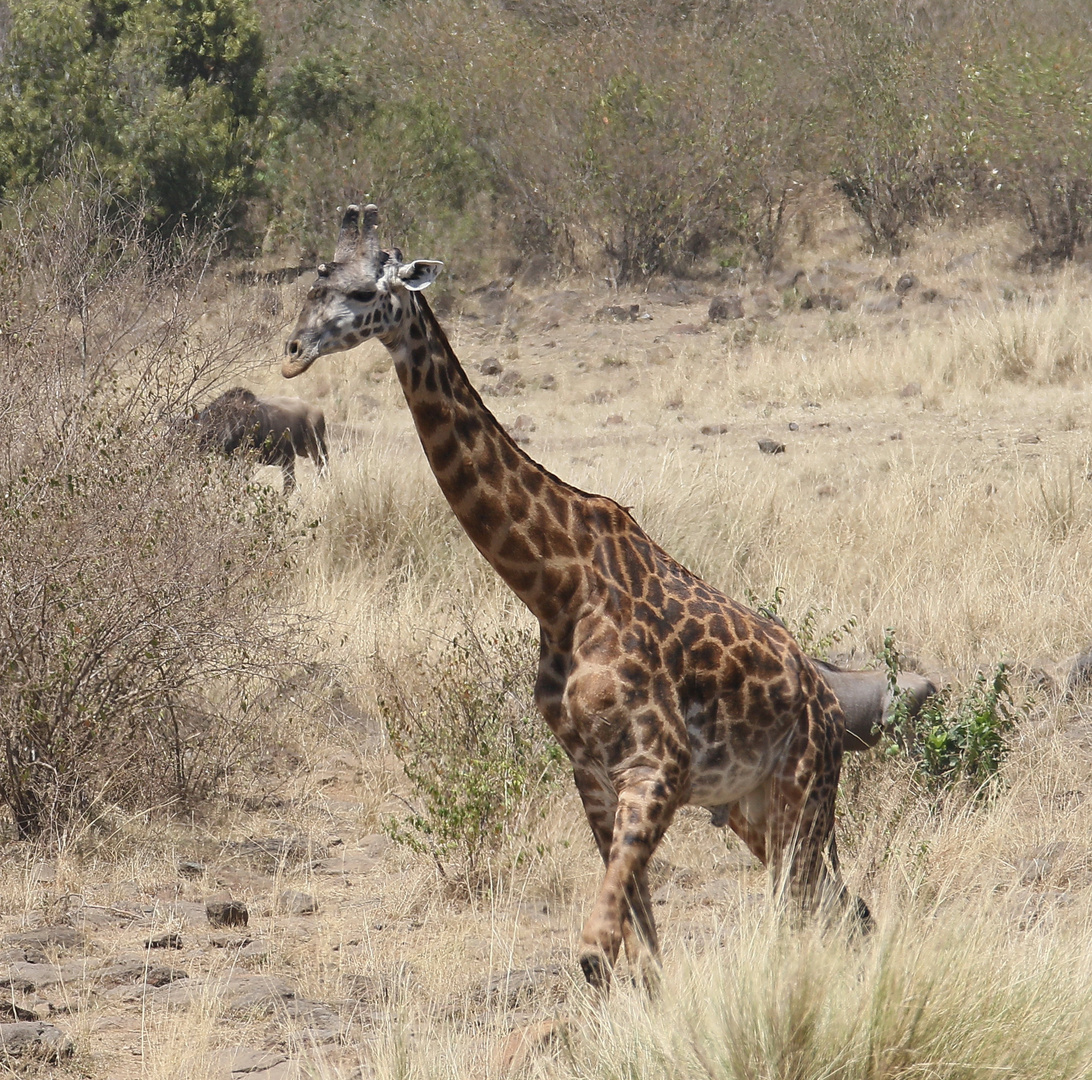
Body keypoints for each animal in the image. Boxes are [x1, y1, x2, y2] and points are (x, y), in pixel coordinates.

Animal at [286, 206, 873, 991]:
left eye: (357, 292)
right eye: (312, 281)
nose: (291, 352)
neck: (556, 587)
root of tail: (827, 703)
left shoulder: (660, 763)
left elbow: (598, 951)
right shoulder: (590, 773)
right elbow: (640, 949)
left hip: (801, 792)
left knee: (816, 907)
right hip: (748, 805)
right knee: (840, 906)